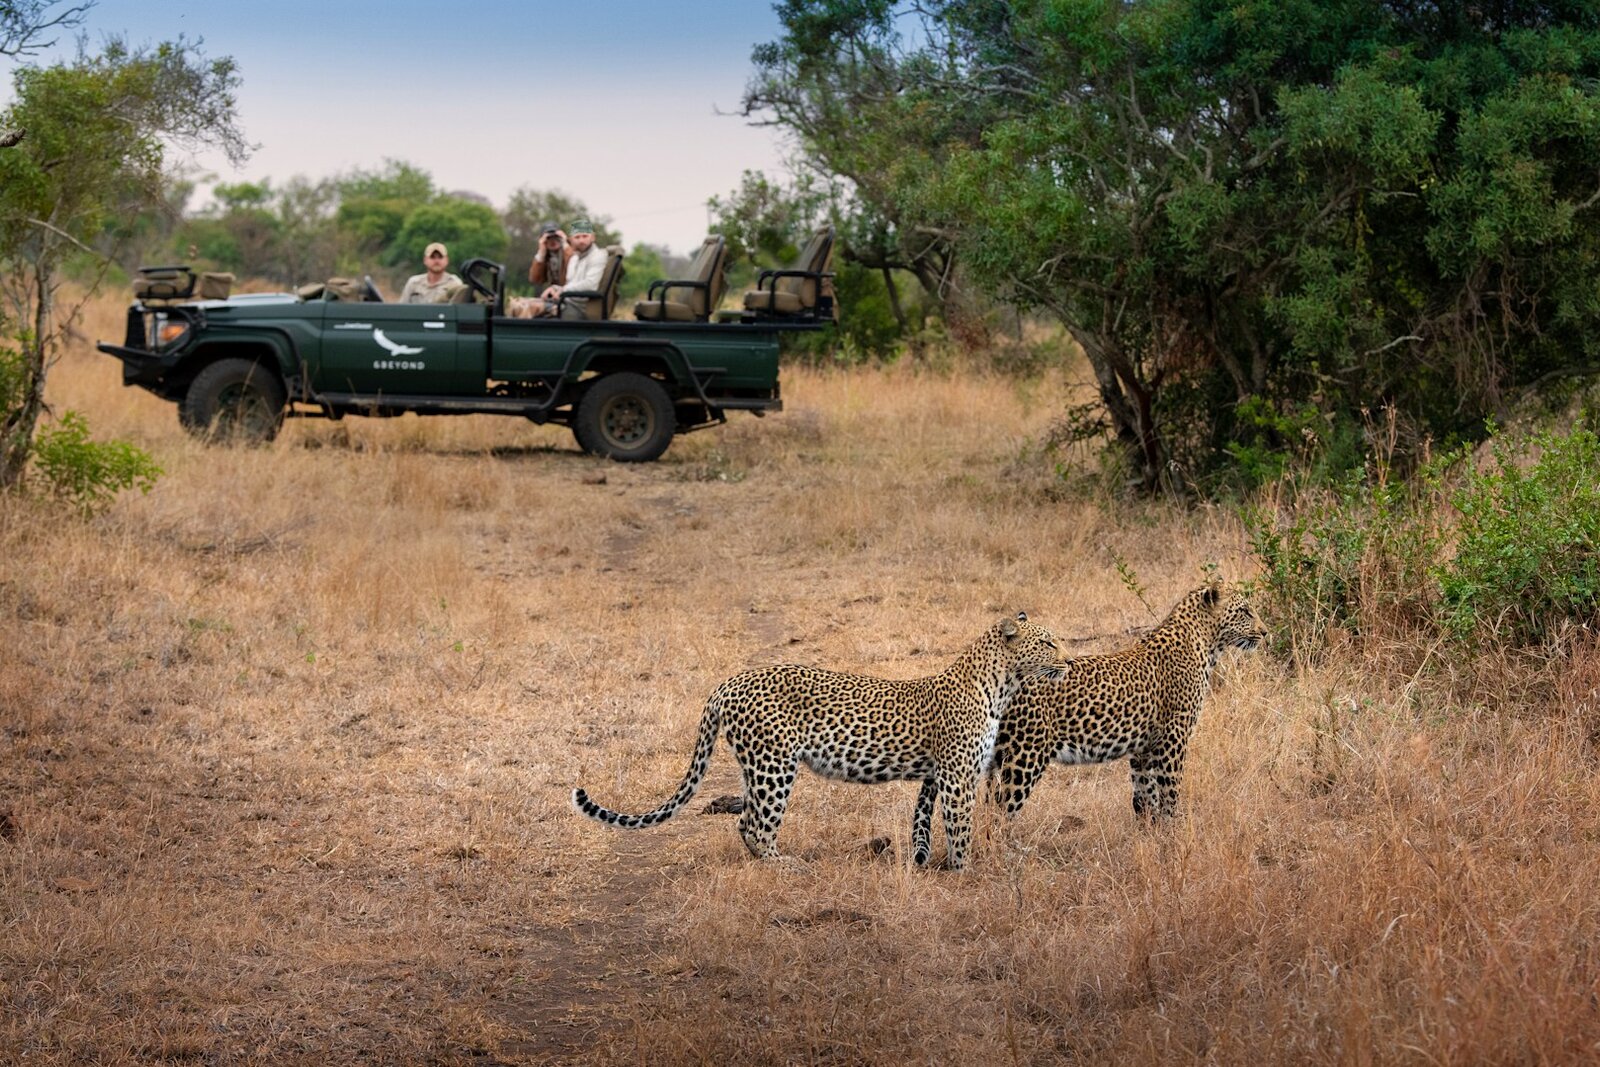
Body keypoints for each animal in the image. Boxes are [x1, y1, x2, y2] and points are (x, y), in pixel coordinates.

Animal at [573, 612, 1068, 870]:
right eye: (1048, 643)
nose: (1068, 660)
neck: (1001, 685)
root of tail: (726, 685)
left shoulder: (941, 774)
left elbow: (938, 822)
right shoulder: (958, 774)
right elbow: (962, 826)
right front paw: (965, 871)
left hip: (755, 766)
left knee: (745, 821)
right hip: (774, 765)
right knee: (758, 824)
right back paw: (784, 865)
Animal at [985, 583, 1266, 825]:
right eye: (1244, 611)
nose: (1264, 632)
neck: (1206, 643)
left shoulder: (1144, 749)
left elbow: (1146, 795)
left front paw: (1151, 834)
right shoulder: (1173, 738)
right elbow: (1170, 792)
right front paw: (1173, 832)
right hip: (1024, 756)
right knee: (1001, 811)